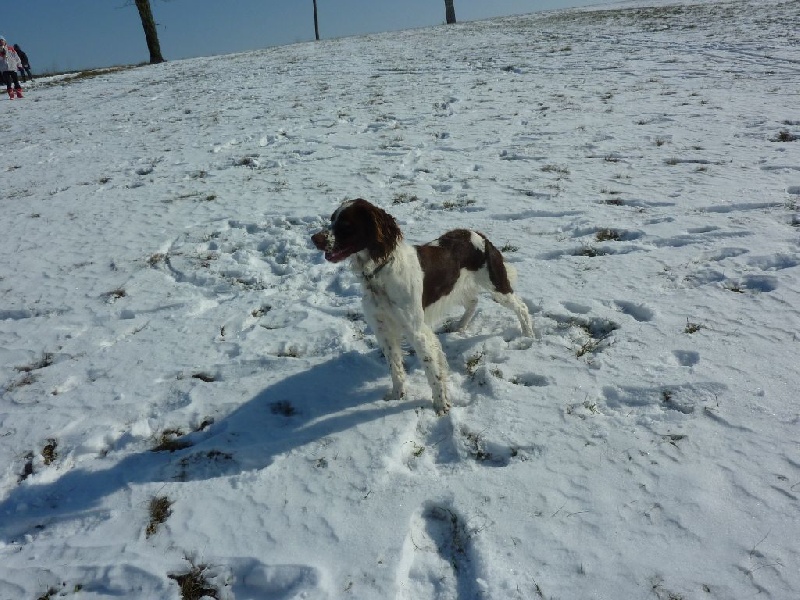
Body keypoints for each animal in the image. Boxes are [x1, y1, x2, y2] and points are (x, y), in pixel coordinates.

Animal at [310, 199, 532, 414]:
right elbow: (395, 367)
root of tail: (479, 235)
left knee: (521, 307)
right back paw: (460, 326)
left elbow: (431, 371)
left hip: (496, 286)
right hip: (456, 285)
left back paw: (528, 336)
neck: (380, 273)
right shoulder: (383, 329)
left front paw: (441, 405)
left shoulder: (416, 331)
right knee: (473, 301)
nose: (314, 238)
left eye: (346, 224)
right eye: (332, 219)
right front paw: (397, 394)